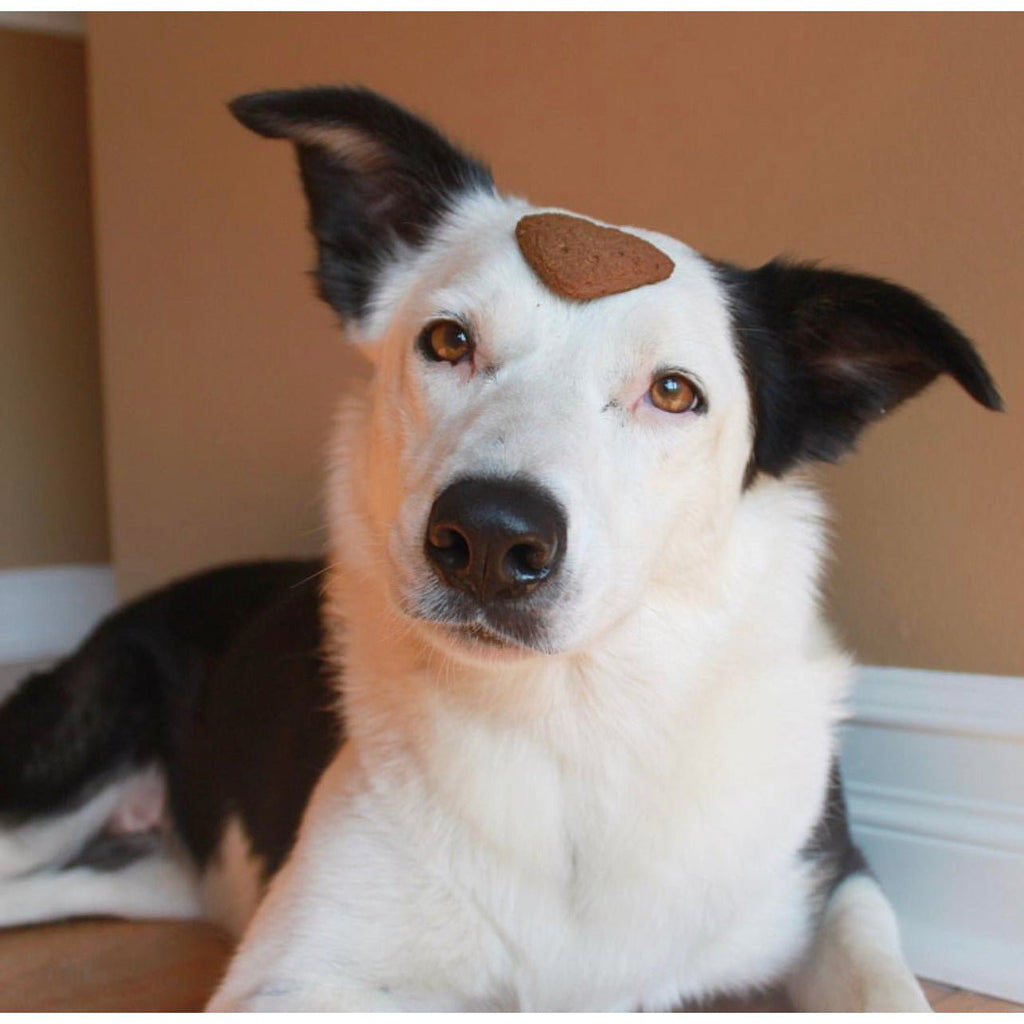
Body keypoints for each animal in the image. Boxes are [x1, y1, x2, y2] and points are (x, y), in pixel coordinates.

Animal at [0, 86, 999, 1007]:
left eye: (674, 392)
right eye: (448, 341)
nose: (486, 536)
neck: (571, 725)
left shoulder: (835, 883)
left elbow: (889, 982)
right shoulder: (285, 982)